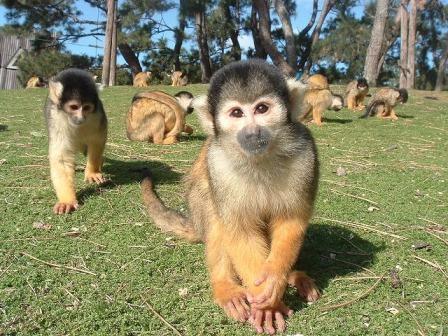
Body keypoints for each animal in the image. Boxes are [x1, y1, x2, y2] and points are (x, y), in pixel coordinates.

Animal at [44, 69, 107, 215]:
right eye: (74, 107)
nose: (80, 118)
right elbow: (61, 158)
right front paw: (67, 201)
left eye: (86, 108)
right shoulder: (55, 117)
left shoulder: (97, 113)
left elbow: (97, 140)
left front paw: (92, 173)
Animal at [142, 59, 320, 334]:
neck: (259, 159)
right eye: (236, 113)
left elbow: (290, 221)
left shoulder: (305, 154)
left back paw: (294, 276)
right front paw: (267, 304)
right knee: (214, 213)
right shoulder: (218, 163)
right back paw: (225, 286)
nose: (253, 132)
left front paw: (275, 279)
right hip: (200, 207)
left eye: (261, 108)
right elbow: (240, 231)